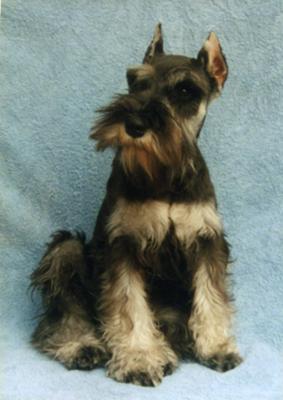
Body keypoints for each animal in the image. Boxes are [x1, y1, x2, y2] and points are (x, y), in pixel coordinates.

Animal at [31, 24, 244, 384]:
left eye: (185, 89)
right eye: (135, 82)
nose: (134, 125)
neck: (164, 176)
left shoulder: (207, 241)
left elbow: (211, 298)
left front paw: (217, 347)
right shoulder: (123, 245)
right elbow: (129, 307)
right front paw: (139, 359)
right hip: (67, 250)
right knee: (65, 315)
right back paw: (81, 345)